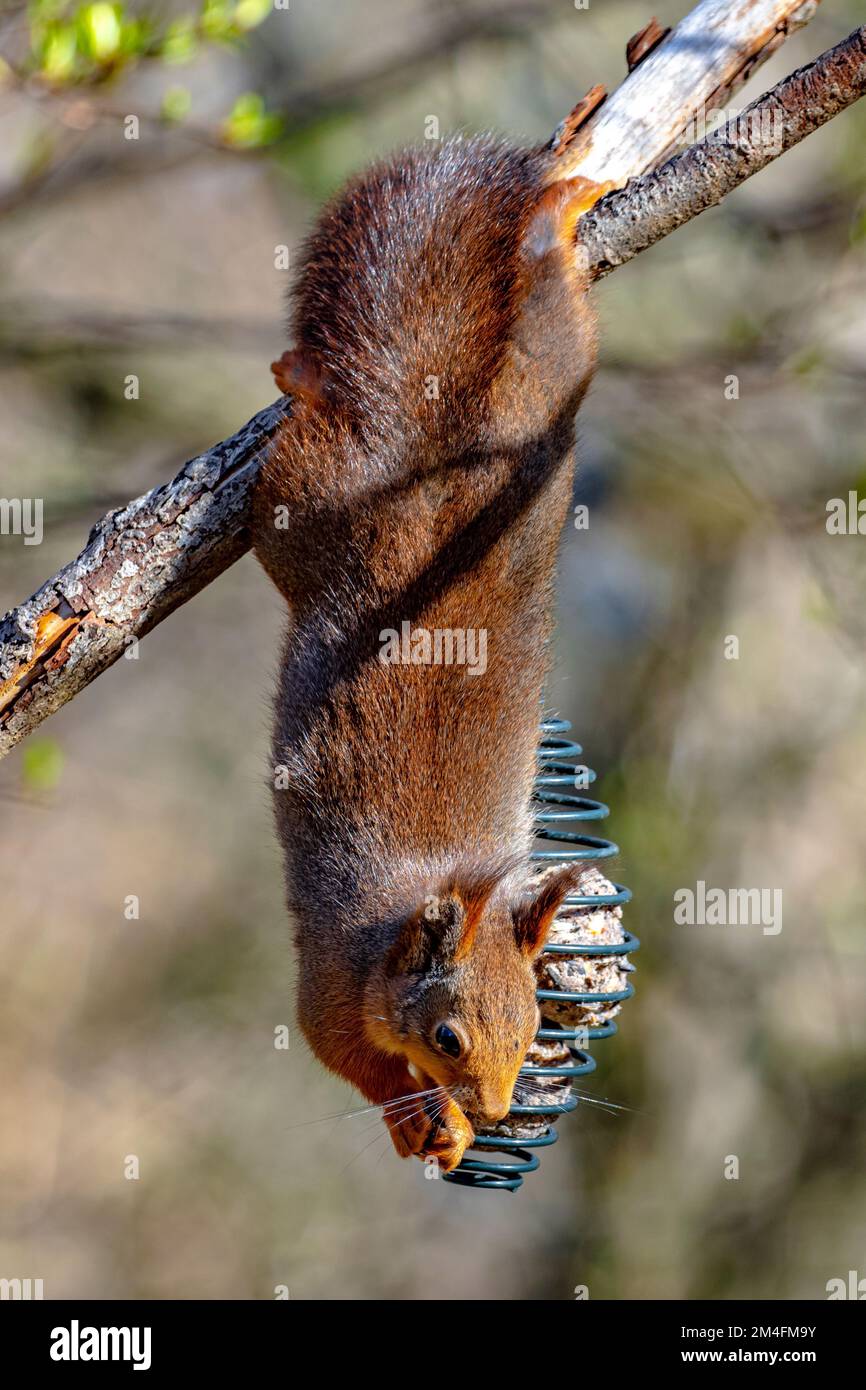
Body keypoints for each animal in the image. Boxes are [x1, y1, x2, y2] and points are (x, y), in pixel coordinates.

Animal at [254, 132, 614, 1173]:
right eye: (448, 1036)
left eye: (535, 1024)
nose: (492, 1111)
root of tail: (442, 435)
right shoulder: (333, 984)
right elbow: (348, 1058)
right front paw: (423, 1120)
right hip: (307, 501)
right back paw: (300, 375)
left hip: (549, 379)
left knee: (550, 308)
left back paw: (562, 210)